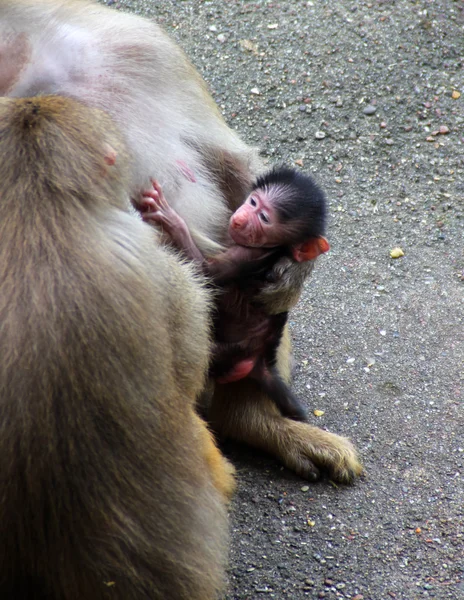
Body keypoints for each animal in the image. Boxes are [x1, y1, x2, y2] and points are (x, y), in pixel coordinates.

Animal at [140, 166, 328, 422]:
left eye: (264, 218)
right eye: (253, 202)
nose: (240, 219)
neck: (275, 249)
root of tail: (259, 358)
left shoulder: (250, 255)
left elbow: (206, 274)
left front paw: (171, 219)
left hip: (230, 353)